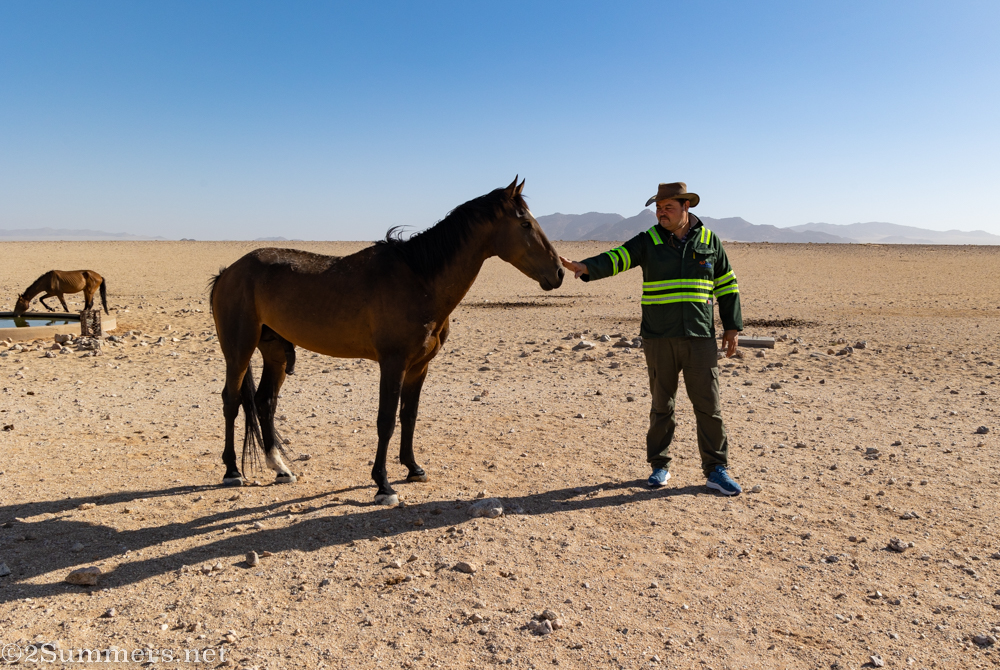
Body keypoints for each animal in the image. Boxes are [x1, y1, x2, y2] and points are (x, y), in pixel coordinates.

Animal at [209, 177, 564, 504]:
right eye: (525, 223)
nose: (559, 272)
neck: (419, 279)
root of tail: (229, 272)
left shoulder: (419, 366)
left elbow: (409, 415)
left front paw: (413, 468)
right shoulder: (393, 363)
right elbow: (386, 421)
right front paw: (383, 484)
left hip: (275, 353)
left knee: (265, 401)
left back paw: (281, 468)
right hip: (239, 350)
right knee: (231, 400)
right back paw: (232, 471)